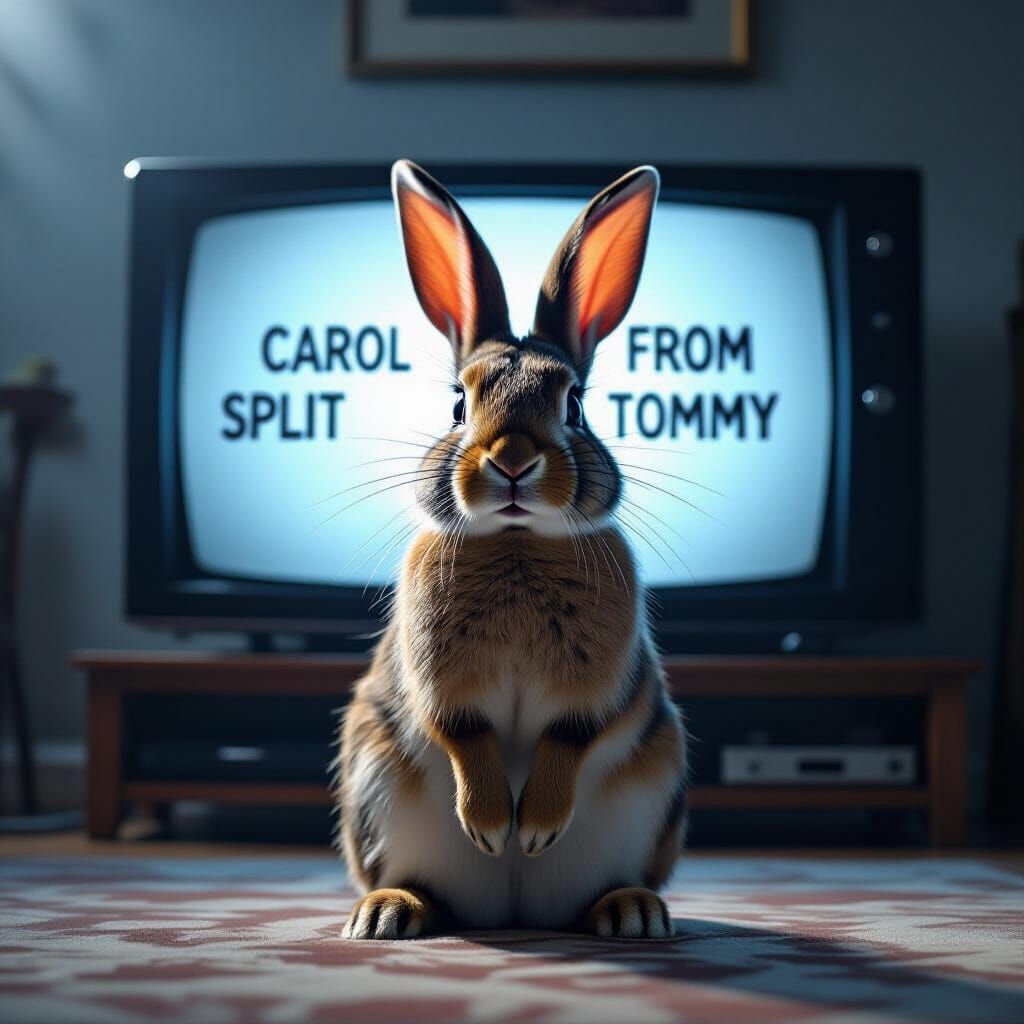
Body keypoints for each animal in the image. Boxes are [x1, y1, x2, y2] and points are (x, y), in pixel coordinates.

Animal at [335, 160, 687, 940]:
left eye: (576, 404)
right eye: (458, 405)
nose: (514, 461)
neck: (519, 541)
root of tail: (513, 913)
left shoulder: (595, 691)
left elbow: (568, 738)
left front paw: (534, 828)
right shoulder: (440, 684)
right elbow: (464, 736)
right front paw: (494, 827)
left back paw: (633, 913)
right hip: (375, 786)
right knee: (425, 891)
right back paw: (386, 913)